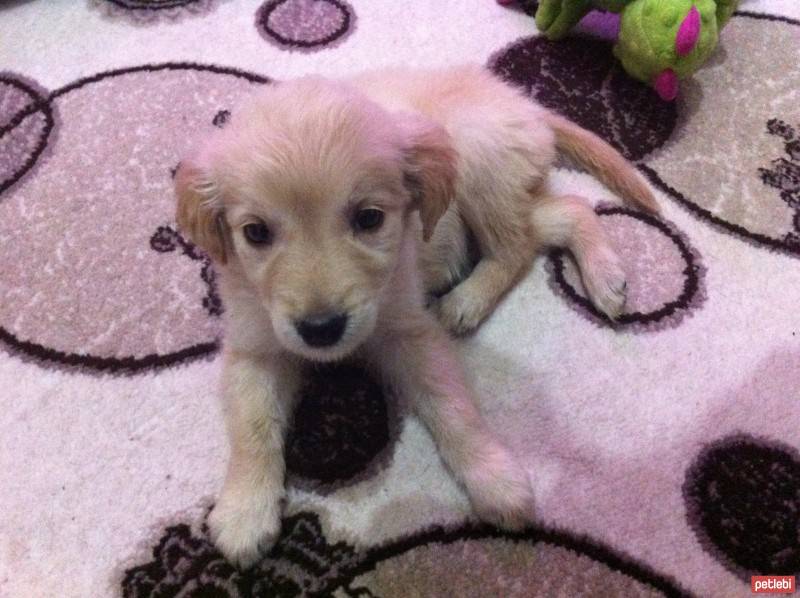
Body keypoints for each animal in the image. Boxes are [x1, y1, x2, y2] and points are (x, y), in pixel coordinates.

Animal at [175, 63, 656, 568]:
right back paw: (605, 277)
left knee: (519, 245)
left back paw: (478, 299)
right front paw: (245, 511)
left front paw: (495, 477)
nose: (321, 330)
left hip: (477, 163)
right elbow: (251, 426)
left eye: (369, 218)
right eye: (255, 232)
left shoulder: (411, 333)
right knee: (567, 213)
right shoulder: (254, 347)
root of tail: (523, 101)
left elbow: (453, 408)